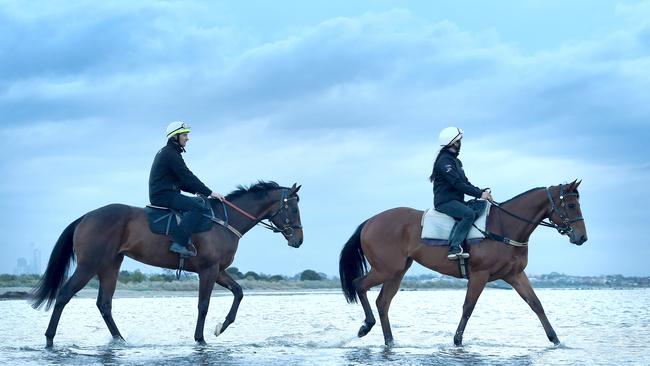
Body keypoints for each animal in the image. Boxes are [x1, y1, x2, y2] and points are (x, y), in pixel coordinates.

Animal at [31, 182, 302, 348]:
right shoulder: (208, 270)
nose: (298, 240)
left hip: (110, 266)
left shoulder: (219, 271)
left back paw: (120, 340)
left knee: (104, 304)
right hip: (88, 266)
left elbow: (239, 292)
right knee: (64, 295)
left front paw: (221, 327)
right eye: (293, 208)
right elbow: (203, 305)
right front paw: (200, 339)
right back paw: (49, 340)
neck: (224, 222)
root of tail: (86, 216)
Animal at [340, 180, 588, 346]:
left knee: (383, 302)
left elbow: (536, 304)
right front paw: (457, 340)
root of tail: (370, 221)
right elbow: (468, 307)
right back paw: (366, 326)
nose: (582, 237)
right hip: (385, 269)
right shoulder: (480, 274)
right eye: (571, 206)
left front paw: (555, 340)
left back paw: (390, 342)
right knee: (359, 284)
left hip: (397, 271)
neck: (504, 226)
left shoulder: (515, 275)